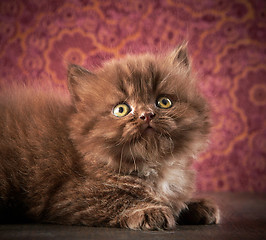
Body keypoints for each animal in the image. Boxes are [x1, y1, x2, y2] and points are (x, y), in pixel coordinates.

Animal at [0, 44, 219, 230]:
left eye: (164, 102)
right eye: (121, 109)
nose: (147, 115)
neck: (154, 166)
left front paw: (196, 205)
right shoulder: (68, 196)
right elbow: (115, 198)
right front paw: (149, 210)